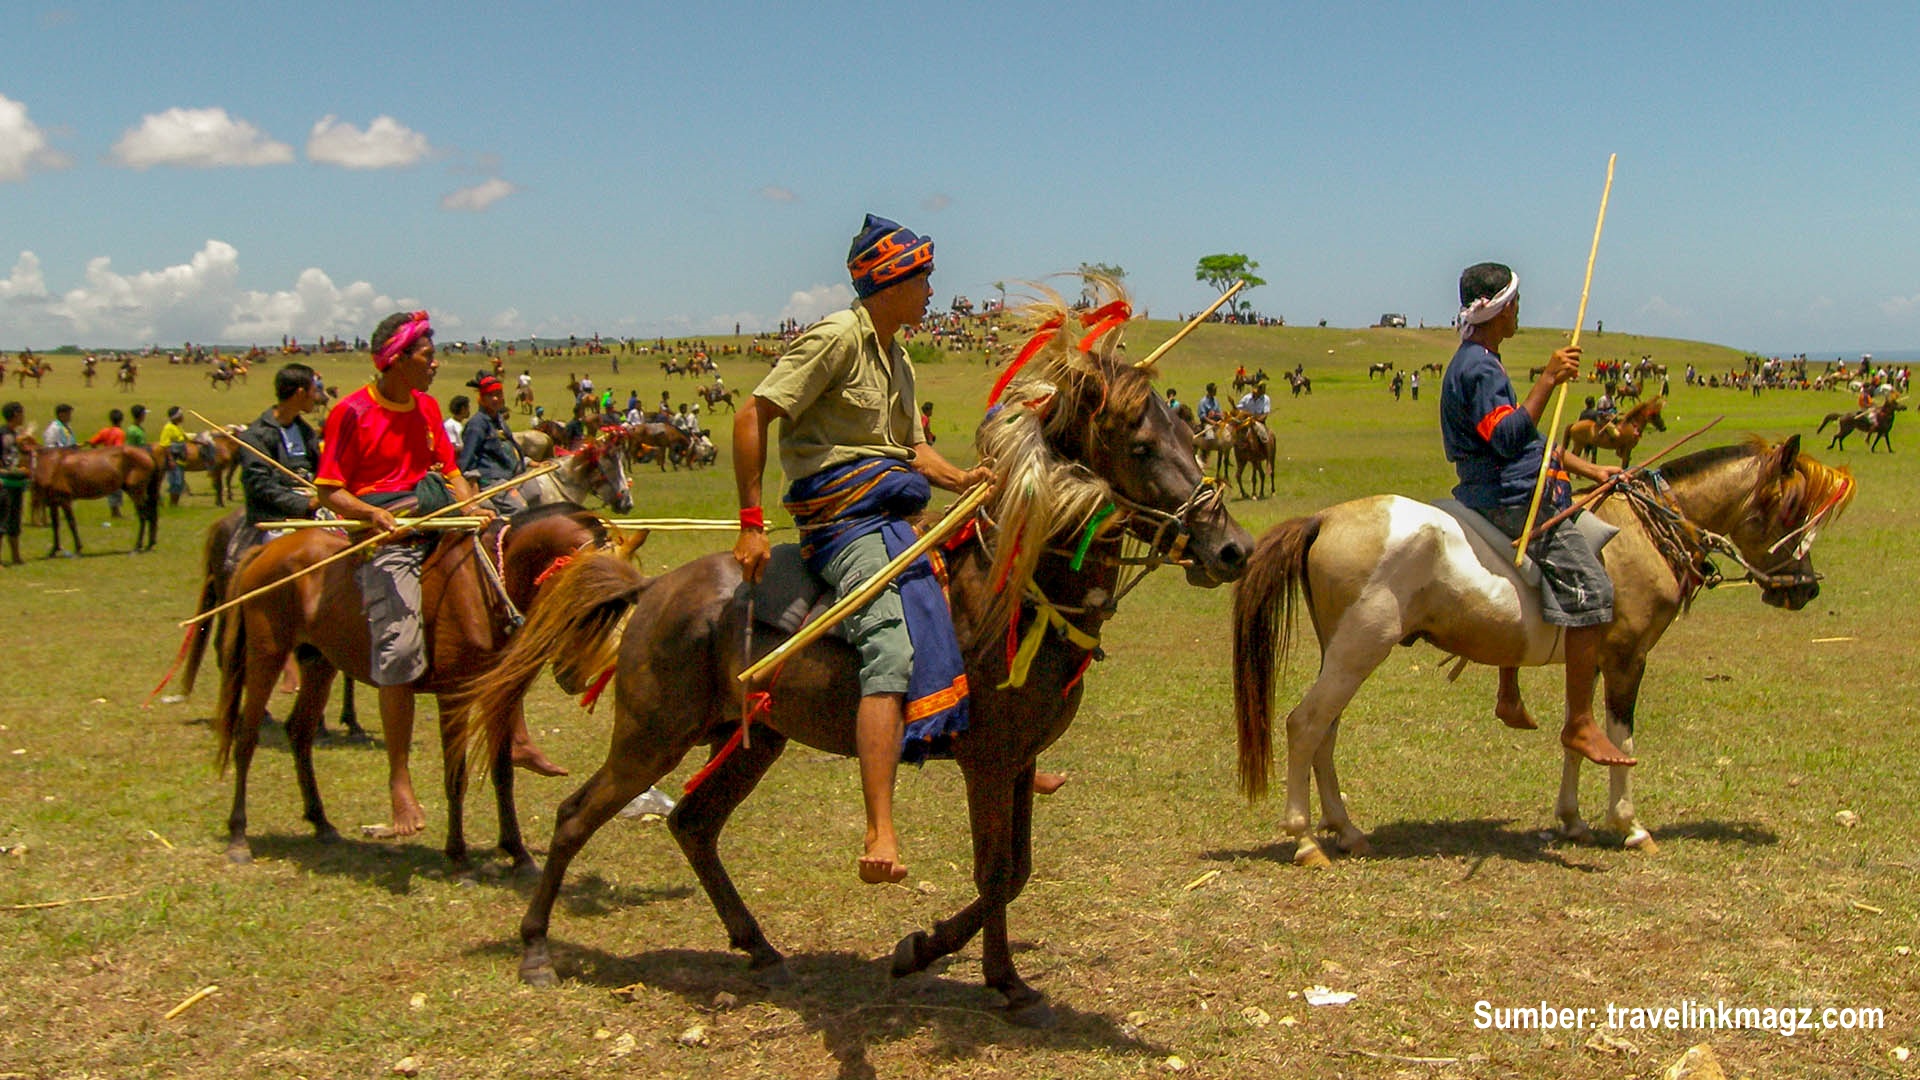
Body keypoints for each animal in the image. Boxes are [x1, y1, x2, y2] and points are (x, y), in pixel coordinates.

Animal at [30, 443, 159, 553]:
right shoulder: (54, 502)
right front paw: (54, 549)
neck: (53, 464)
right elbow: (55, 525)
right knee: (150, 515)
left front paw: (78, 548)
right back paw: (149, 544)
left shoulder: (65, 500)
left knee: (144, 516)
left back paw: (138, 546)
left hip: (136, 492)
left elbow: (71, 523)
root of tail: (146, 453)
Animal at [214, 499, 610, 868]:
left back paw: (321, 823)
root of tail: (266, 551)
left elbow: (502, 773)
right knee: (246, 737)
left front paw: (517, 852)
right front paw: (457, 854)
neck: (483, 586)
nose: (575, 677)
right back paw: (238, 835)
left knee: (299, 732)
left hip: (318, 661)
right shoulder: (454, 695)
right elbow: (456, 776)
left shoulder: (499, 695)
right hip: (266, 653)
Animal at [451, 288, 1259, 1022]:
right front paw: (995, 978)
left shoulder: (1022, 758)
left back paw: (757, 945)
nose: (1232, 549)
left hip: (750, 738)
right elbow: (995, 870)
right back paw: (536, 948)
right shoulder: (987, 759)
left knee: (694, 826)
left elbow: (1017, 871)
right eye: (1142, 447)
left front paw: (928, 949)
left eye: (1194, 438)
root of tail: (653, 591)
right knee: (574, 817)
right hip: (651, 737)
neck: (1017, 588)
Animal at [1236, 432, 1850, 860]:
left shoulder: (1592, 657)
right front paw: (1630, 825)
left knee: (1325, 731)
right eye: (1793, 511)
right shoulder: (1628, 658)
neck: (1642, 533)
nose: (1805, 588)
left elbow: (1578, 732)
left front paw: (1573, 818)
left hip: (1342, 652)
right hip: (1358, 650)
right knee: (1305, 724)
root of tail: (1322, 519)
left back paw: (1346, 830)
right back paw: (1305, 840)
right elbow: (1620, 737)